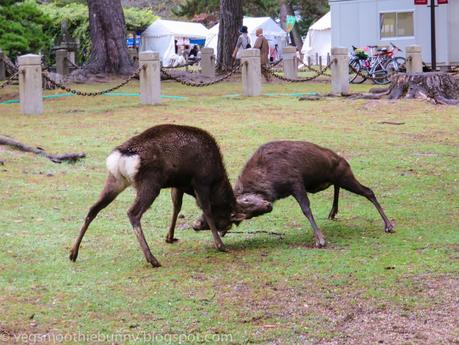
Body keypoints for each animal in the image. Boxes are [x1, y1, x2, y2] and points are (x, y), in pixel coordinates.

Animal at [69, 123, 244, 266]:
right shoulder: (200, 181)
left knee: (93, 209)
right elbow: (206, 208)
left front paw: (169, 237)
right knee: (133, 212)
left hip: (115, 180)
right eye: (226, 222)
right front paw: (220, 245)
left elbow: (176, 206)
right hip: (150, 183)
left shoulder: (178, 184)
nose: (195, 226)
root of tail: (121, 157)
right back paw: (152, 259)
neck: (216, 180)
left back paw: (73, 253)